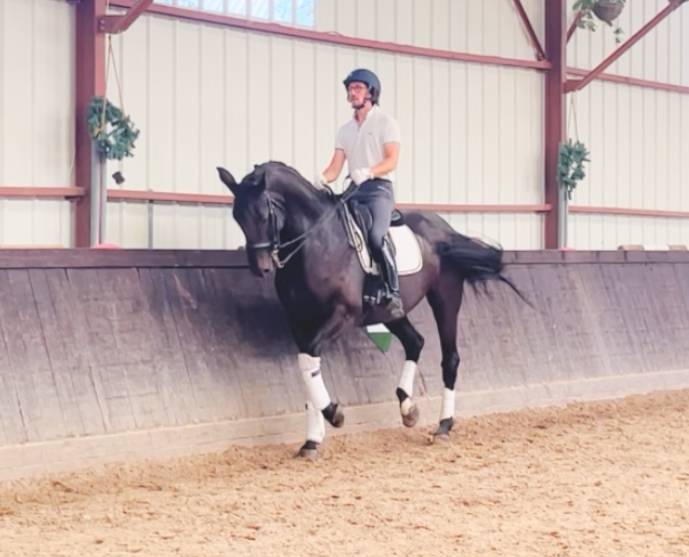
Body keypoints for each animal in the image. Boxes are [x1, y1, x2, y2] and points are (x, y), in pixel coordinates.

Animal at [217, 161, 526, 458]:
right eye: (237, 216)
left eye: (263, 214)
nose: (260, 268)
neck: (315, 244)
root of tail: (445, 230)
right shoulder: (299, 320)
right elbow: (307, 365)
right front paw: (312, 441)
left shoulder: (342, 314)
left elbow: (309, 360)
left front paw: (334, 414)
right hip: (389, 313)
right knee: (415, 342)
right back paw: (408, 408)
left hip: (446, 297)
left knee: (449, 358)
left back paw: (443, 426)